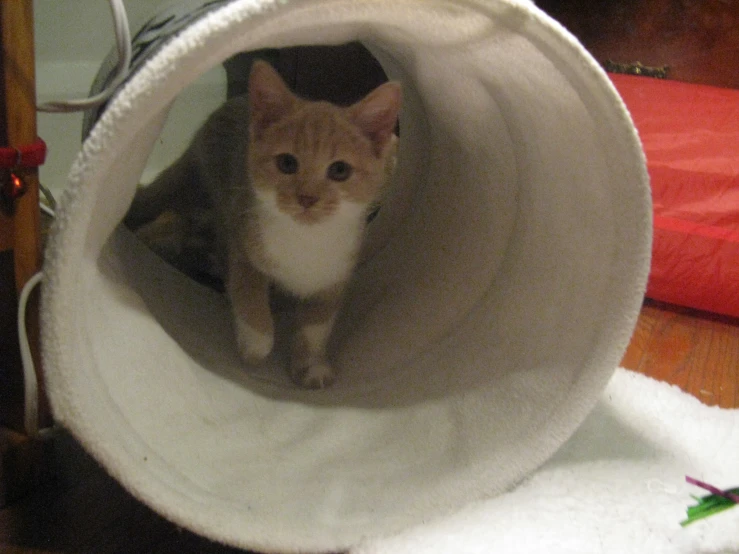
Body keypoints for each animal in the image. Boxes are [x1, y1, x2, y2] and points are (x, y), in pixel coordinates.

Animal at [127, 60, 404, 386]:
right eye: (287, 163)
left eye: (339, 170)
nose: (307, 198)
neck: (306, 239)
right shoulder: (244, 246)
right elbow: (249, 297)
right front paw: (255, 346)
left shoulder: (336, 275)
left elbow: (316, 326)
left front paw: (310, 365)